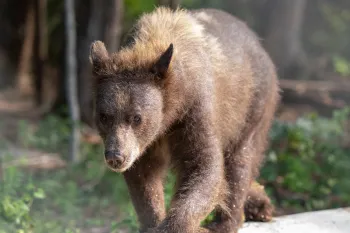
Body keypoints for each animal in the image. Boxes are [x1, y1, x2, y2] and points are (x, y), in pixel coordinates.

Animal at [89, 6, 278, 232]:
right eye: (104, 116)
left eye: (136, 117)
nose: (116, 156)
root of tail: (259, 43)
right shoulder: (146, 142)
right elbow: (144, 175)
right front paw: (152, 222)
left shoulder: (196, 109)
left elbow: (204, 166)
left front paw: (173, 225)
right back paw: (260, 204)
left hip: (252, 105)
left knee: (240, 160)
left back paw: (226, 222)